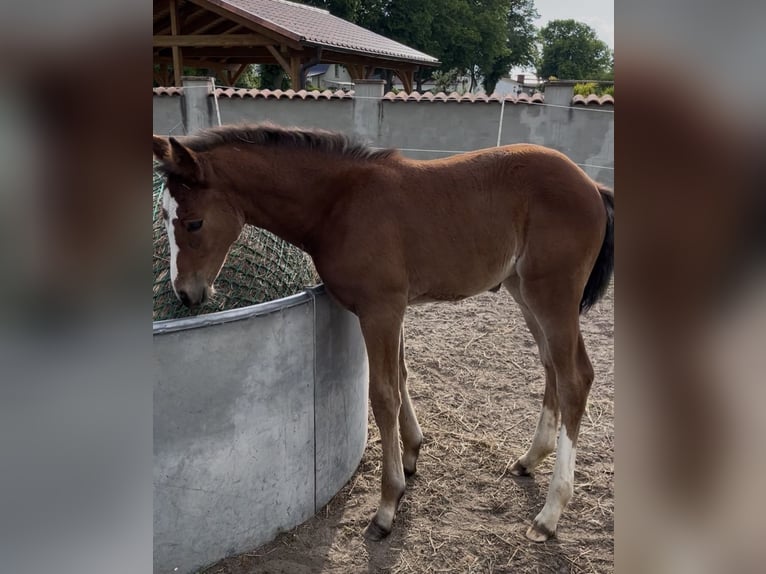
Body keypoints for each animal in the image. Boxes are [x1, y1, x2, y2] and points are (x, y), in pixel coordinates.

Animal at [152, 123, 614, 542]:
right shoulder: (394, 308)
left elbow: (384, 394)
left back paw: (550, 514)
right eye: (164, 216)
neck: (340, 204)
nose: (185, 293)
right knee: (551, 366)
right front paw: (411, 455)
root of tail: (591, 185)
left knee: (575, 378)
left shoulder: (380, 309)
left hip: (551, 294)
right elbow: (402, 376)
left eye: (193, 223)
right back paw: (529, 459)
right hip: (523, 290)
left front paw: (387, 506)